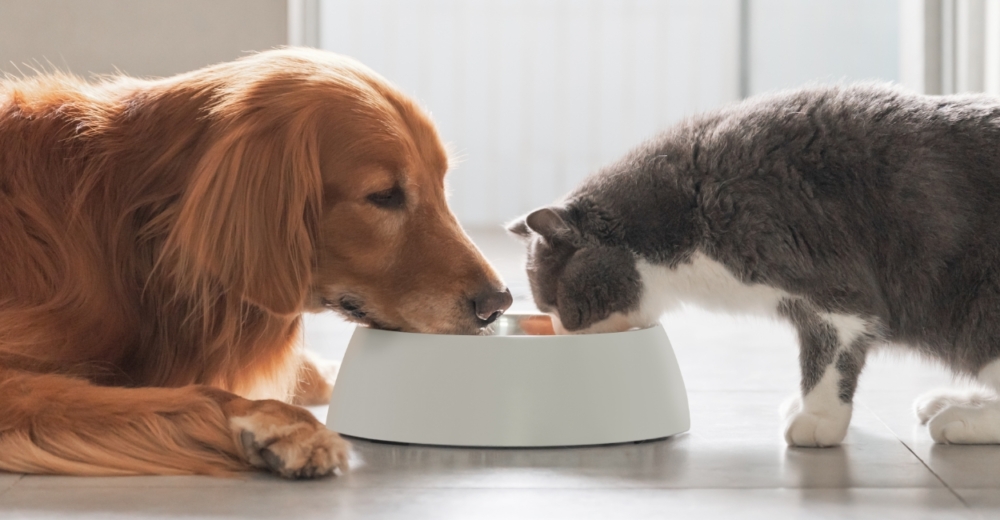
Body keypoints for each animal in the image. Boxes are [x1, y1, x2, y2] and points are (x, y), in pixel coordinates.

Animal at [512, 84, 1000, 446]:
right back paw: (951, 402)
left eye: (560, 305)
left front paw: (817, 420)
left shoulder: (831, 290)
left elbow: (827, 359)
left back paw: (957, 419)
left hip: (978, 309)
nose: (560, 335)